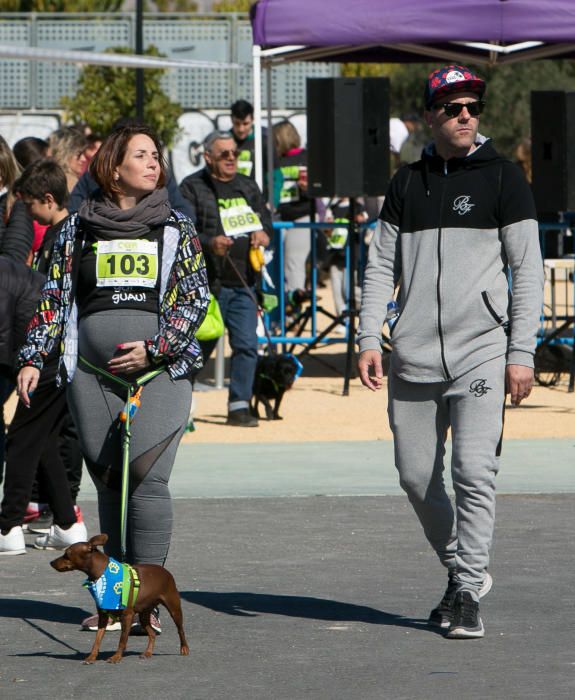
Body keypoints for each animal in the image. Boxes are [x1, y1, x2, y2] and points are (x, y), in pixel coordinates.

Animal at [49, 532, 189, 664]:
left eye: (67, 554)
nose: (51, 562)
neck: (103, 573)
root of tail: (165, 571)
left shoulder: (127, 616)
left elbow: (122, 639)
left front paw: (116, 657)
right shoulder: (103, 617)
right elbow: (97, 640)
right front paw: (92, 657)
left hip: (174, 609)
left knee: (180, 630)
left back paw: (184, 648)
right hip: (144, 615)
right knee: (152, 634)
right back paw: (148, 652)